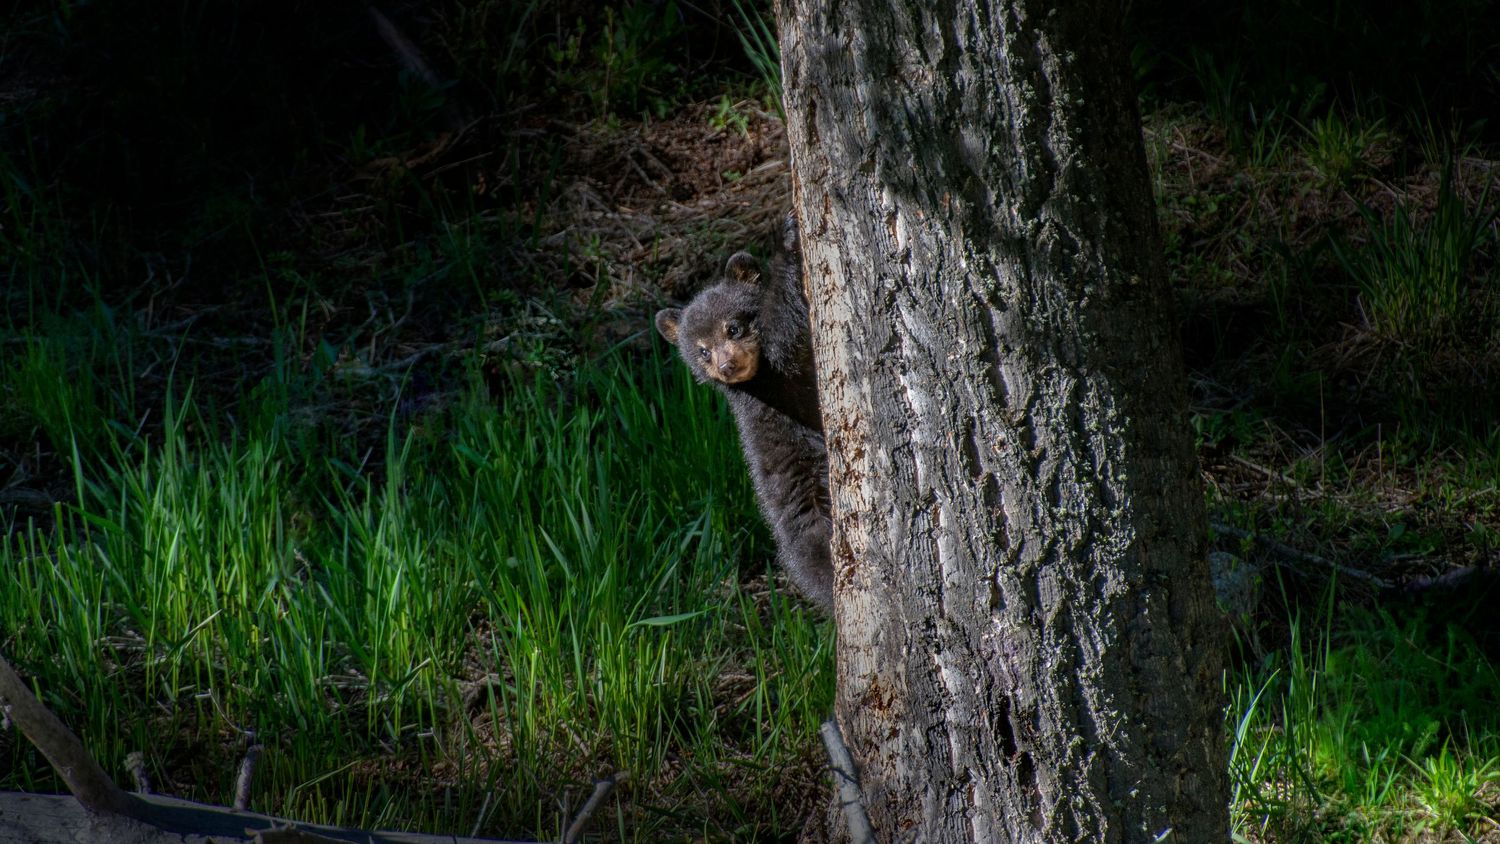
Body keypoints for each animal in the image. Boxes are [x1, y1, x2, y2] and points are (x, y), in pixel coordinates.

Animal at [654, 220, 833, 610]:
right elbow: (784, 323)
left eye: (732, 327)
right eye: (702, 351)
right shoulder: (777, 375)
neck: (758, 379)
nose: (727, 366)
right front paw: (788, 238)